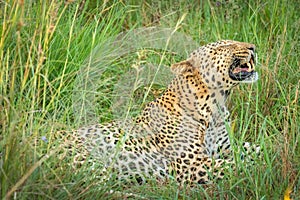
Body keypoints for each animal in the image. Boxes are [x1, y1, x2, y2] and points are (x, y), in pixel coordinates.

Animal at [54, 39, 260, 186]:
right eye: (224, 46)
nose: (253, 47)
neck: (215, 107)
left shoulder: (227, 147)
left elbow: (256, 149)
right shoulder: (193, 165)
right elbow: (237, 166)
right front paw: (261, 169)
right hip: (89, 163)